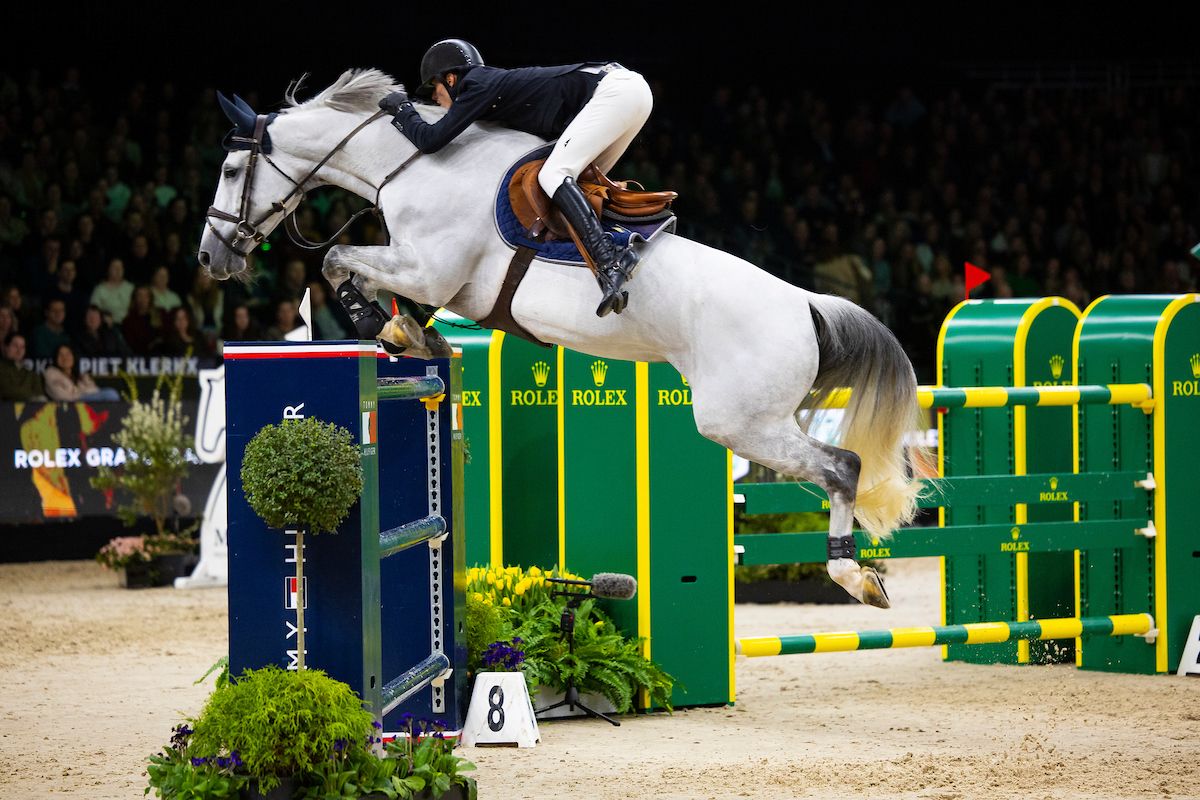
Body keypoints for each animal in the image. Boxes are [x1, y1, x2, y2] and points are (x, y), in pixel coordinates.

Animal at [197, 68, 923, 608]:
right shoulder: (434, 279)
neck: (411, 165)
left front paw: (382, 325)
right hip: (758, 418)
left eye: (230, 172)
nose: (211, 257)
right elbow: (365, 280)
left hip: (739, 421)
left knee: (843, 467)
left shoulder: (429, 268)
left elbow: (335, 260)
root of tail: (806, 304)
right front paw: (409, 335)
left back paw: (853, 576)